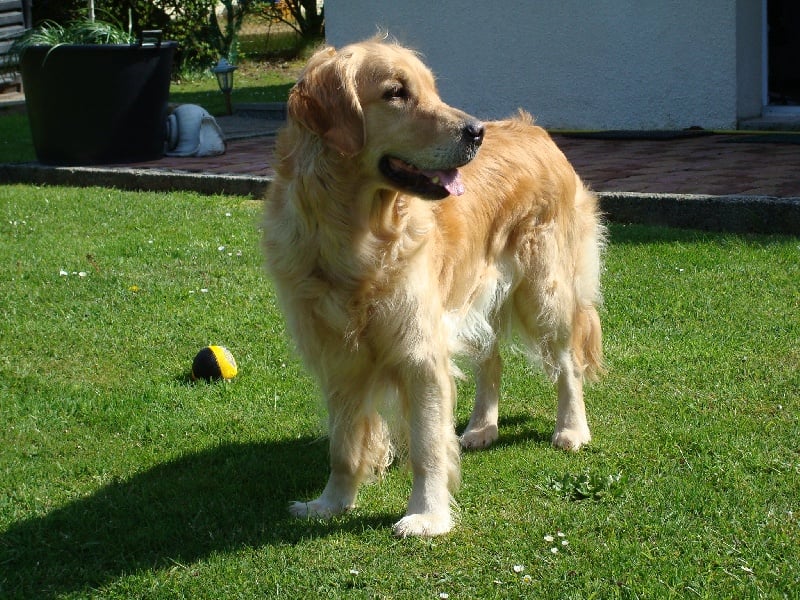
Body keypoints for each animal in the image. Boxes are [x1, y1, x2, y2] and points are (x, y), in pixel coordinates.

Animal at [262, 37, 608, 536]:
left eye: (431, 90)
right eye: (396, 92)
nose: (476, 132)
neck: (356, 235)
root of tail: (536, 129)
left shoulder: (419, 351)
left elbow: (427, 446)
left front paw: (427, 515)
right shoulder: (338, 359)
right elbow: (343, 446)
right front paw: (331, 504)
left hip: (546, 291)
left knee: (567, 364)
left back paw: (571, 430)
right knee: (490, 359)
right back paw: (482, 427)